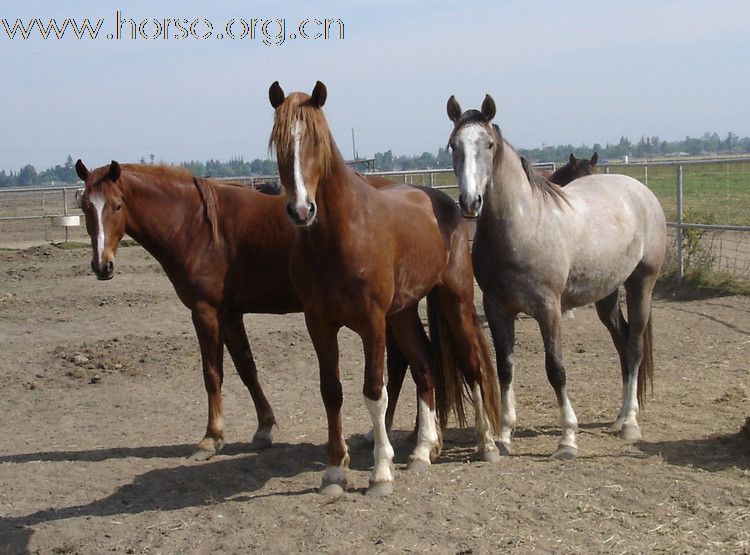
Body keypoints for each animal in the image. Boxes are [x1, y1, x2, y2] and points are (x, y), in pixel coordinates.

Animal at [74, 160, 418, 460]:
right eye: (86, 207)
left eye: (117, 206)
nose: (102, 266)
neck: (193, 225)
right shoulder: (229, 313)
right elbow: (246, 367)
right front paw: (264, 428)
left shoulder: (205, 311)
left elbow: (213, 373)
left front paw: (211, 437)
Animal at [268, 80, 502, 498]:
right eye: (279, 143)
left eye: (315, 141)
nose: (301, 210)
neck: (340, 236)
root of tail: (448, 204)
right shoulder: (319, 323)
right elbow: (332, 391)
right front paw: (334, 472)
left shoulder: (372, 323)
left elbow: (374, 392)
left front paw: (380, 473)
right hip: (404, 313)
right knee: (424, 364)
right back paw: (423, 449)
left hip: (454, 301)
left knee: (471, 362)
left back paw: (487, 443)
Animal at [444, 95, 668, 460]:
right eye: (453, 145)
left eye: (488, 144)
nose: (470, 202)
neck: (523, 226)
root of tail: (640, 191)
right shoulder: (498, 309)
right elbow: (505, 367)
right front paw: (504, 435)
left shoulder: (549, 309)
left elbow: (556, 369)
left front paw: (567, 439)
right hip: (606, 295)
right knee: (621, 341)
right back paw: (620, 417)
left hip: (641, 283)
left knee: (634, 346)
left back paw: (631, 424)